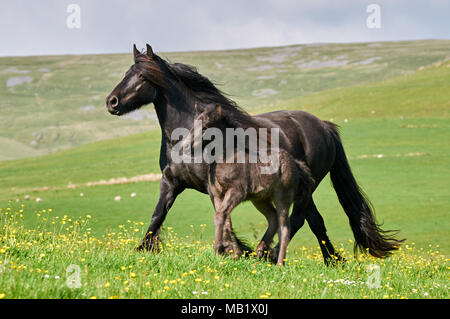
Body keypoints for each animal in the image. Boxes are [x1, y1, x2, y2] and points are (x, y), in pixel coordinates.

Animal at [106, 44, 404, 264]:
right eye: (126, 72)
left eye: (142, 76)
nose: (112, 102)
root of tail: (324, 126)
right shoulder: (171, 182)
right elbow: (157, 216)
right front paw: (142, 249)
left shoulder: (214, 186)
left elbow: (223, 217)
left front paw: (235, 250)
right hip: (303, 188)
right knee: (313, 220)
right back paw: (330, 260)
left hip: (304, 186)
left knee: (295, 220)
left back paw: (269, 254)